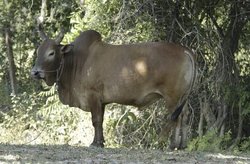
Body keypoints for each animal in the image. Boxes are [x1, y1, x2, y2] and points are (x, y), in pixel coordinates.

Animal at [30, 26, 195, 147]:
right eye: (38, 51)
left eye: (51, 53)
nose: (35, 72)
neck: (77, 61)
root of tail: (185, 50)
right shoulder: (102, 101)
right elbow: (100, 121)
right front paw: (100, 141)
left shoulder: (93, 96)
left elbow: (96, 120)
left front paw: (95, 144)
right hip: (183, 97)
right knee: (185, 115)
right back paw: (182, 145)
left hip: (172, 97)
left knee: (175, 117)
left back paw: (171, 144)